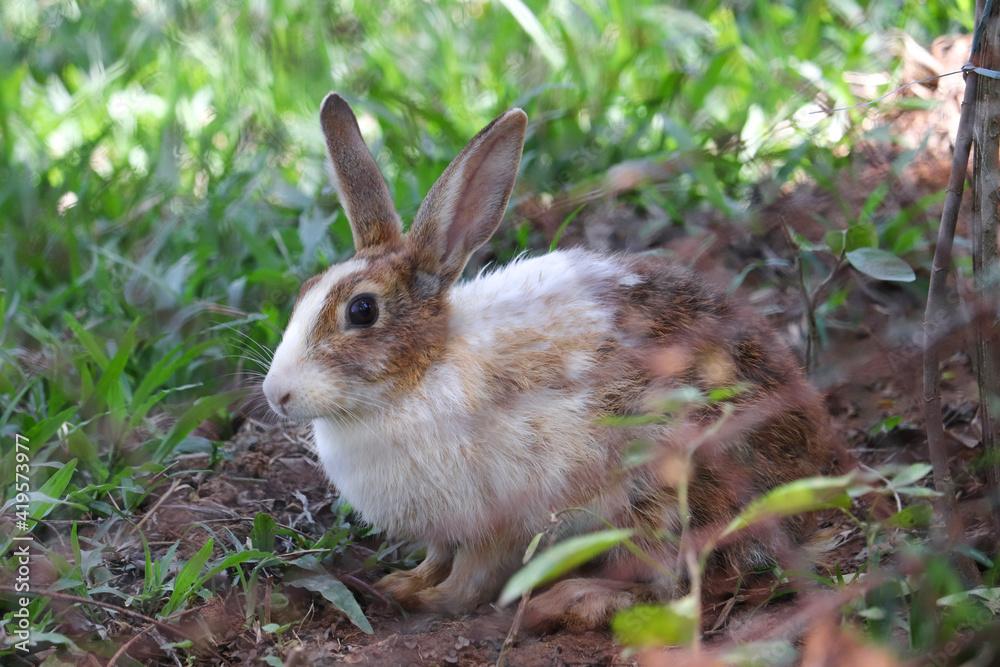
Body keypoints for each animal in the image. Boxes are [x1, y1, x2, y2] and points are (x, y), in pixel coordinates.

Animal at [261, 92, 835, 631]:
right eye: (306, 290)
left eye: (362, 311)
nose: (276, 394)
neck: (420, 374)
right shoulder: (447, 529)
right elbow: (438, 557)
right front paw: (404, 582)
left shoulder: (500, 522)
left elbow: (473, 576)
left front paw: (431, 601)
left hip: (662, 486)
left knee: (677, 586)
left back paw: (571, 599)